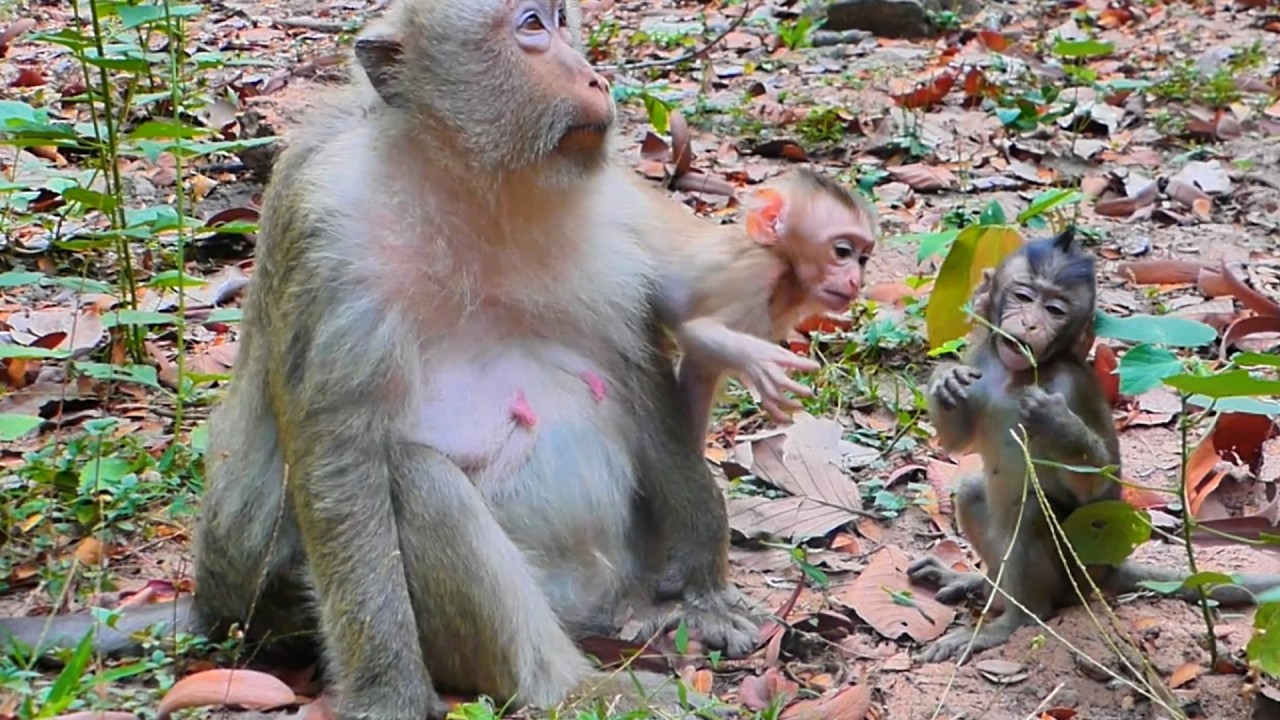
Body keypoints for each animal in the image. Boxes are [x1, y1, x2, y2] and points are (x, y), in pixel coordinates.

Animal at [0, 1, 759, 718]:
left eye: (562, 18)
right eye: (530, 27)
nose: (594, 77)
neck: (474, 186)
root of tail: (214, 601)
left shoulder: (614, 216)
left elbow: (642, 387)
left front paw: (702, 593)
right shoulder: (327, 235)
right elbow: (341, 460)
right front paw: (387, 694)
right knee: (416, 480)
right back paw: (565, 687)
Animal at [652, 168, 879, 445]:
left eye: (863, 259)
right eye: (843, 251)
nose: (855, 281)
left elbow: (701, 368)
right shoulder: (755, 272)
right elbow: (696, 330)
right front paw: (760, 361)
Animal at [907, 227, 1280, 664]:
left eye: (1054, 310)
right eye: (1023, 296)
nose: (1030, 324)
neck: (1016, 379)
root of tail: (1107, 569)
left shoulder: (1070, 386)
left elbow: (1097, 488)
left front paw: (1059, 425)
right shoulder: (981, 359)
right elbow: (956, 441)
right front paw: (945, 380)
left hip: (1076, 570)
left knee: (1031, 511)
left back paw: (1011, 620)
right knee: (971, 491)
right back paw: (981, 587)